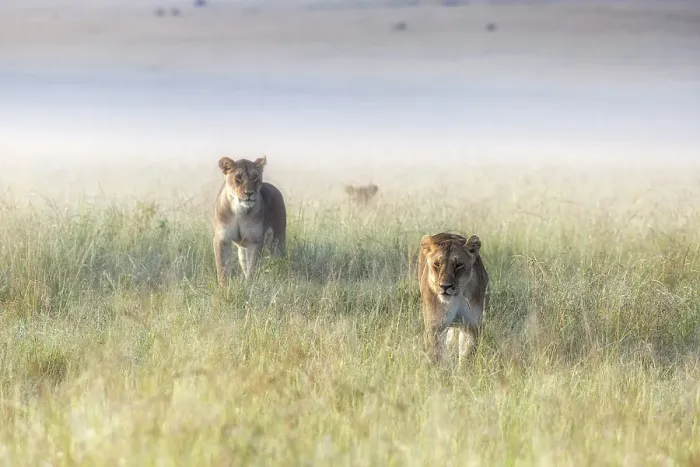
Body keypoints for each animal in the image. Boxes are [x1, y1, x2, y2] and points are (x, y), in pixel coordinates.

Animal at [213, 156, 286, 286]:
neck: (239, 211)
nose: (249, 193)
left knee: (280, 257)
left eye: (255, 177)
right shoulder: (222, 240)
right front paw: (224, 288)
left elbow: (252, 269)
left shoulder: (255, 241)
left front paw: (250, 286)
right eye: (238, 177)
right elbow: (222, 269)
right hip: (242, 249)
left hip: (277, 240)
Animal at [418, 232, 489, 364]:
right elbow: (436, 354)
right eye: (437, 264)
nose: (445, 286)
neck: (456, 298)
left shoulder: (472, 326)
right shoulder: (435, 326)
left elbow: (467, 355)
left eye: (458, 265)